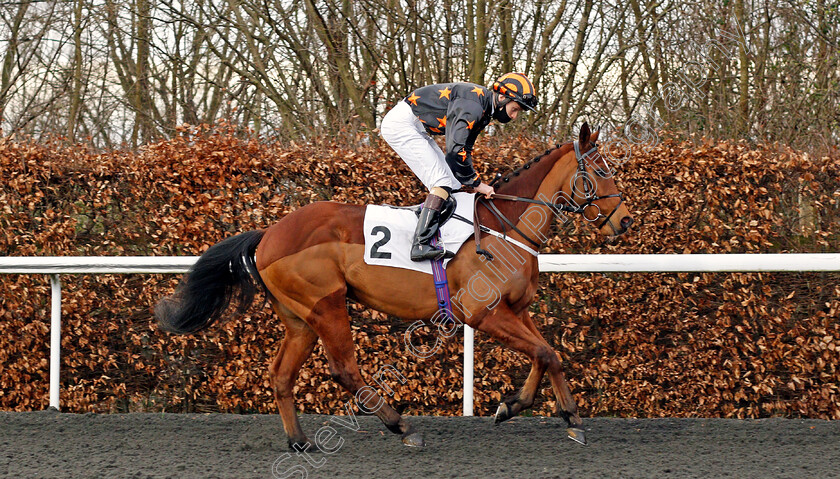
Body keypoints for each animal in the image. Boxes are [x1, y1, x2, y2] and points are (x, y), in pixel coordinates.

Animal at [154, 123, 632, 450]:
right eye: (602, 171)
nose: (626, 221)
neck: (504, 227)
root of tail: (267, 235)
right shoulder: (484, 314)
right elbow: (546, 353)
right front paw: (556, 413)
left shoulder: (515, 309)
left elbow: (547, 353)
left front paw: (529, 408)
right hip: (327, 305)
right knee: (344, 369)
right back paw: (400, 425)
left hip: (299, 319)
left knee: (281, 374)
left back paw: (299, 441)